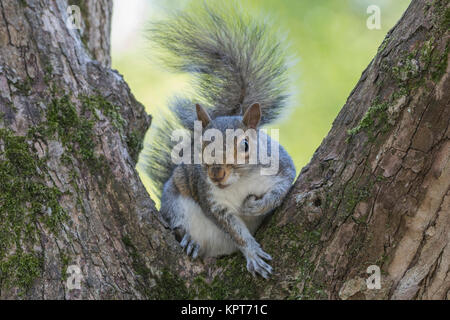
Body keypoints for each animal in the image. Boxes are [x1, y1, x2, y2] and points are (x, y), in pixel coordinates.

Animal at [144, 3, 298, 278]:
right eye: (201, 147)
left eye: (245, 145)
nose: (216, 174)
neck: (240, 182)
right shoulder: (213, 202)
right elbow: (234, 231)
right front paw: (252, 254)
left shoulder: (282, 166)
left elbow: (281, 190)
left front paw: (255, 206)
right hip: (175, 203)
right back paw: (190, 241)